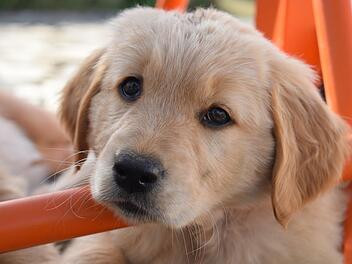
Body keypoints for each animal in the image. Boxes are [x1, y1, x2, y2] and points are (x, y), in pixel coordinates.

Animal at [57, 7, 350, 262]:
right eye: (130, 87)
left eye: (218, 115)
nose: (133, 171)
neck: (198, 234)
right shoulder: (100, 239)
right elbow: (96, 253)